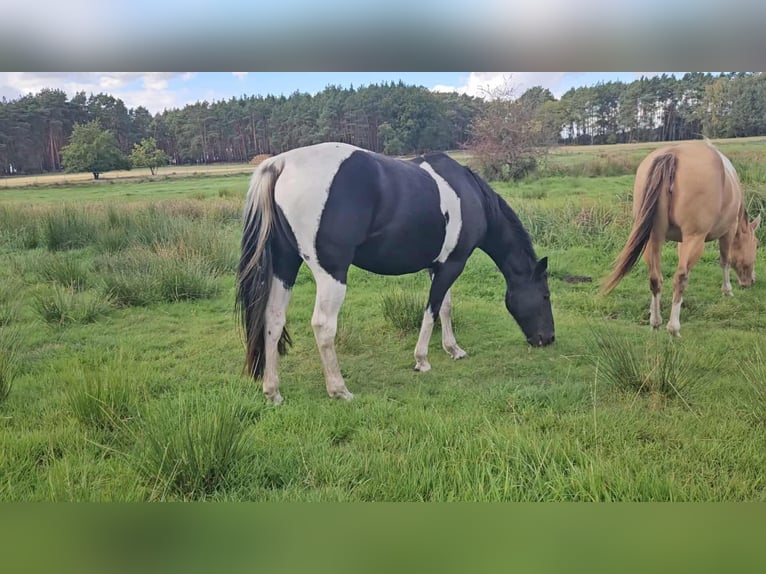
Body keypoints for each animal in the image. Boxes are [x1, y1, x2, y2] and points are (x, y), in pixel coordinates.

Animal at [236, 142, 555, 403]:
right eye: (545, 295)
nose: (548, 339)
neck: (469, 194)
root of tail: (281, 163)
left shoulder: (440, 265)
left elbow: (446, 307)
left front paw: (453, 349)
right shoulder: (453, 264)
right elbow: (432, 310)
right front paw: (422, 359)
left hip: (285, 266)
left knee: (273, 319)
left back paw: (273, 391)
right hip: (331, 273)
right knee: (323, 325)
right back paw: (339, 389)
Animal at [602, 139, 761, 336]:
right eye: (756, 245)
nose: (751, 281)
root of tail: (672, 155)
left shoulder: (680, 241)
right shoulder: (728, 231)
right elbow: (725, 261)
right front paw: (727, 291)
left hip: (653, 238)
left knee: (655, 278)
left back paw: (655, 321)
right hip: (695, 238)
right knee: (680, 277)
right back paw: (673, 327)